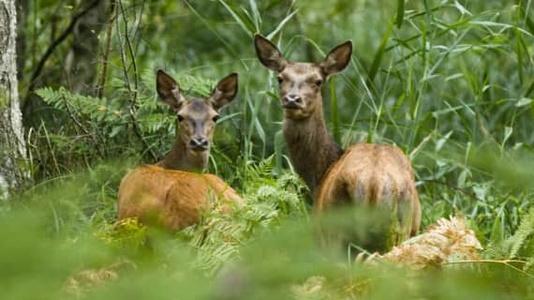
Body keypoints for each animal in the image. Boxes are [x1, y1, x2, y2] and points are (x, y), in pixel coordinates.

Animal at [255, 35, 422, 244]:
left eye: (318, 81)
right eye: (280, 78)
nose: (293, 99)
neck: (320, 172)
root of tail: (373, 185)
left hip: (335, 226)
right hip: (402, 227)